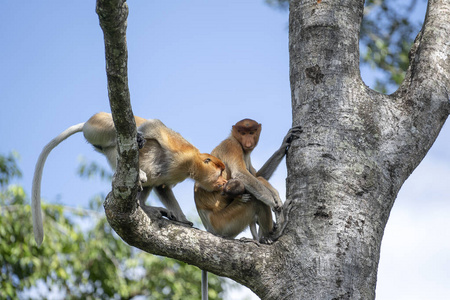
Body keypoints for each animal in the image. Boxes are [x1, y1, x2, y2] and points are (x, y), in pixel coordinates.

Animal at [32, 112, 227, 246]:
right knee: (119, 136)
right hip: (99, 126)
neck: (191, 164)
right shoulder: (180, 150)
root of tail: (88, 121)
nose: (224, 182)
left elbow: (162, 187)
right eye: (220, 171)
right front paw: (141, 135)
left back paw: (145, 205)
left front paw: (182, 219)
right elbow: (154, 126)